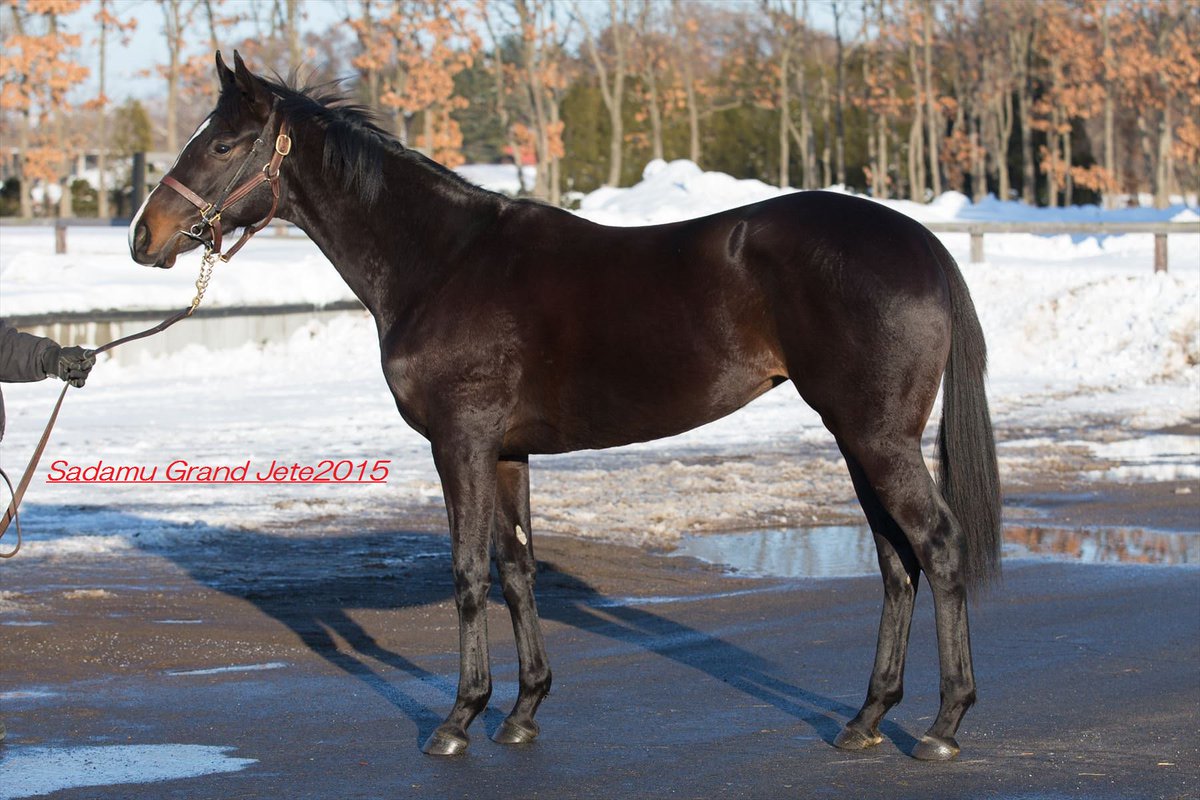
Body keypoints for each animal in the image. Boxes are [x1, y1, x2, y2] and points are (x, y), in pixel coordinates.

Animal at [130, 53, 1001, 762]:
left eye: (220, 144)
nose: (145, 238)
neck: (443, 262)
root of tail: (922, 244)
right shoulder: (507, 453)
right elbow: (516, 570)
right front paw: (522, 713)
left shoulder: (461, 443)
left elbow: (468, 574)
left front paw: (458, 720)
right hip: (860, 440)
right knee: (895, 562)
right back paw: (866, 719)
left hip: (876, 437)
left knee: (938, 547)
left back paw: (943, 726)